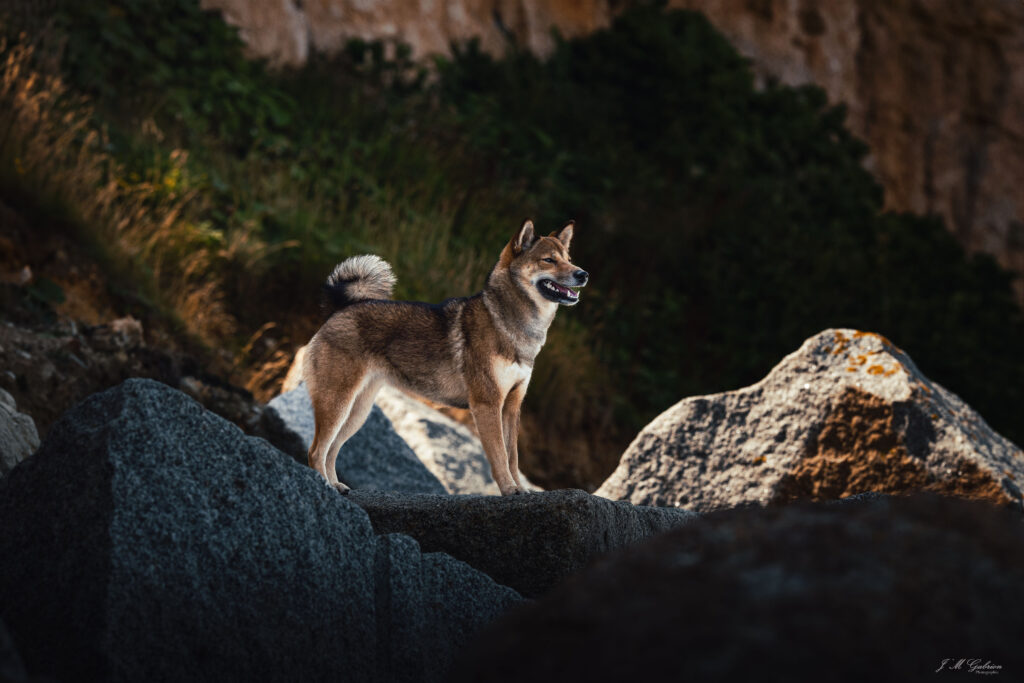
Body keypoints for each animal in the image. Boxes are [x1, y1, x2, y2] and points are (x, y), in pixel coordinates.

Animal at [301, 222, 585, 493]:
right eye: (548, 260)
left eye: (569, 258)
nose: (583, 274)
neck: (510, 325)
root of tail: (339, 310)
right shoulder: (487, 404)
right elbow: (500, 457)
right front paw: (509, 489)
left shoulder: (512, 406)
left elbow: (513, 458)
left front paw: (521, 489)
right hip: (337, 403)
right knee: (316, 451)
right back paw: (324, 485)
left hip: (357, 412)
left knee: (331, 450)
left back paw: (336, 485)